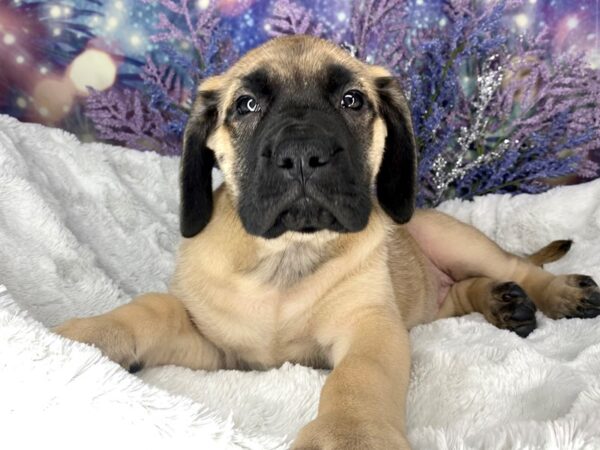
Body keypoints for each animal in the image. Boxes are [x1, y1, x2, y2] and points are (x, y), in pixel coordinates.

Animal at [54, 37, 596, 448]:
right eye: (247, 105)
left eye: (352, 100)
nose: (301, 154)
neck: (285, 257)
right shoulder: (218, 349)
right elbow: (152, 309)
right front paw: (86, 335)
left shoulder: (371, 326)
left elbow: (358, 377)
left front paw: (351, 435)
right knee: (464, 291)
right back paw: (503, 302)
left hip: (450, 237)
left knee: (517, 266)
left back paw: (556, 293)